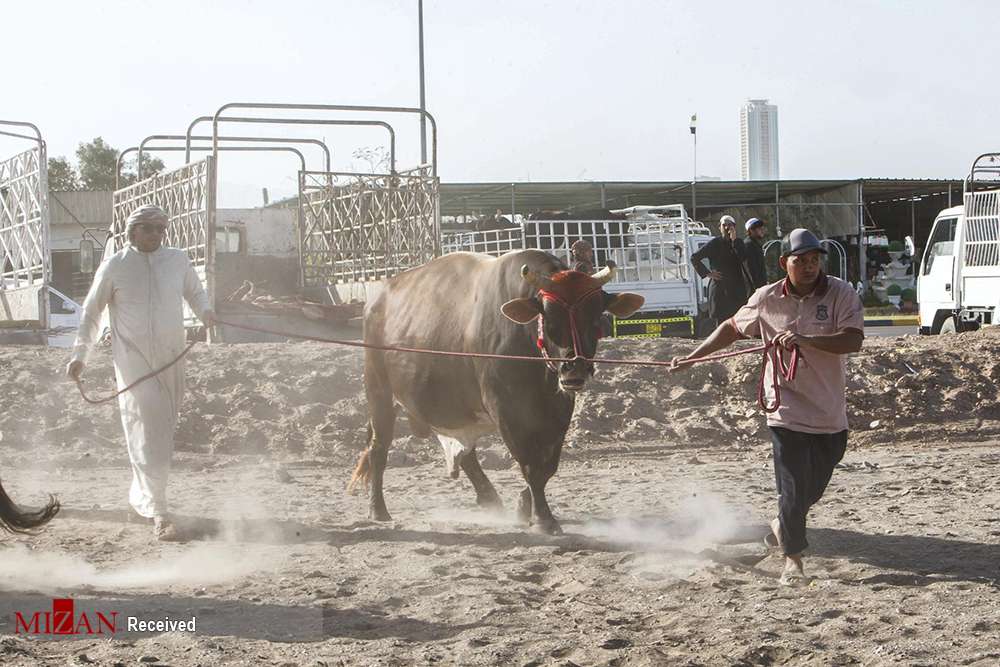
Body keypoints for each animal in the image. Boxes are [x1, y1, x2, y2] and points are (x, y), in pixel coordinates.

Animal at [348, 248, 644, 536]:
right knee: (378, 449)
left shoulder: (558, 412)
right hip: (379, 393)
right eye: (550, 318)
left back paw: (490, 499)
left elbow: (547, 466)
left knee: (467, 456)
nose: (575, 369)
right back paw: (378, 509)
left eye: (595, 318)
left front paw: (524, 506)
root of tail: (377, 300)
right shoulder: (507, 412)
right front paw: (543, 518)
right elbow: (530, 465)